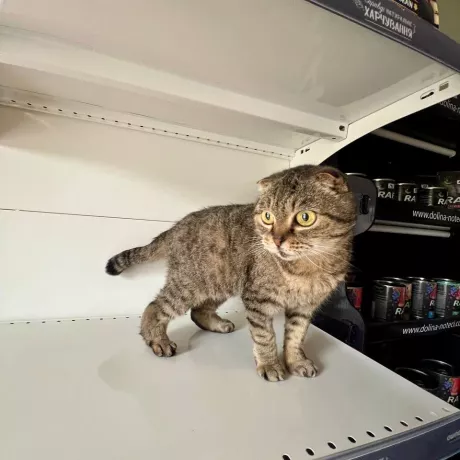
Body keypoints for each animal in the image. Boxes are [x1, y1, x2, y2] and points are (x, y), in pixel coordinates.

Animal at [106, 165, 356, 381]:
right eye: (267, 217)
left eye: (305, 217)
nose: (276, 240)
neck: (309, 267)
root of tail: (176, 227)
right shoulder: (257, 299)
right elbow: (265, 337)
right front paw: (269, 364)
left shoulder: (304, 307)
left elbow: (296, 336)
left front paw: (296, 361)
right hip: (190, 285)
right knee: (154, 307)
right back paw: (157, 340)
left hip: (218, 283)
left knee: (198, 311)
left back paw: (216, 325)